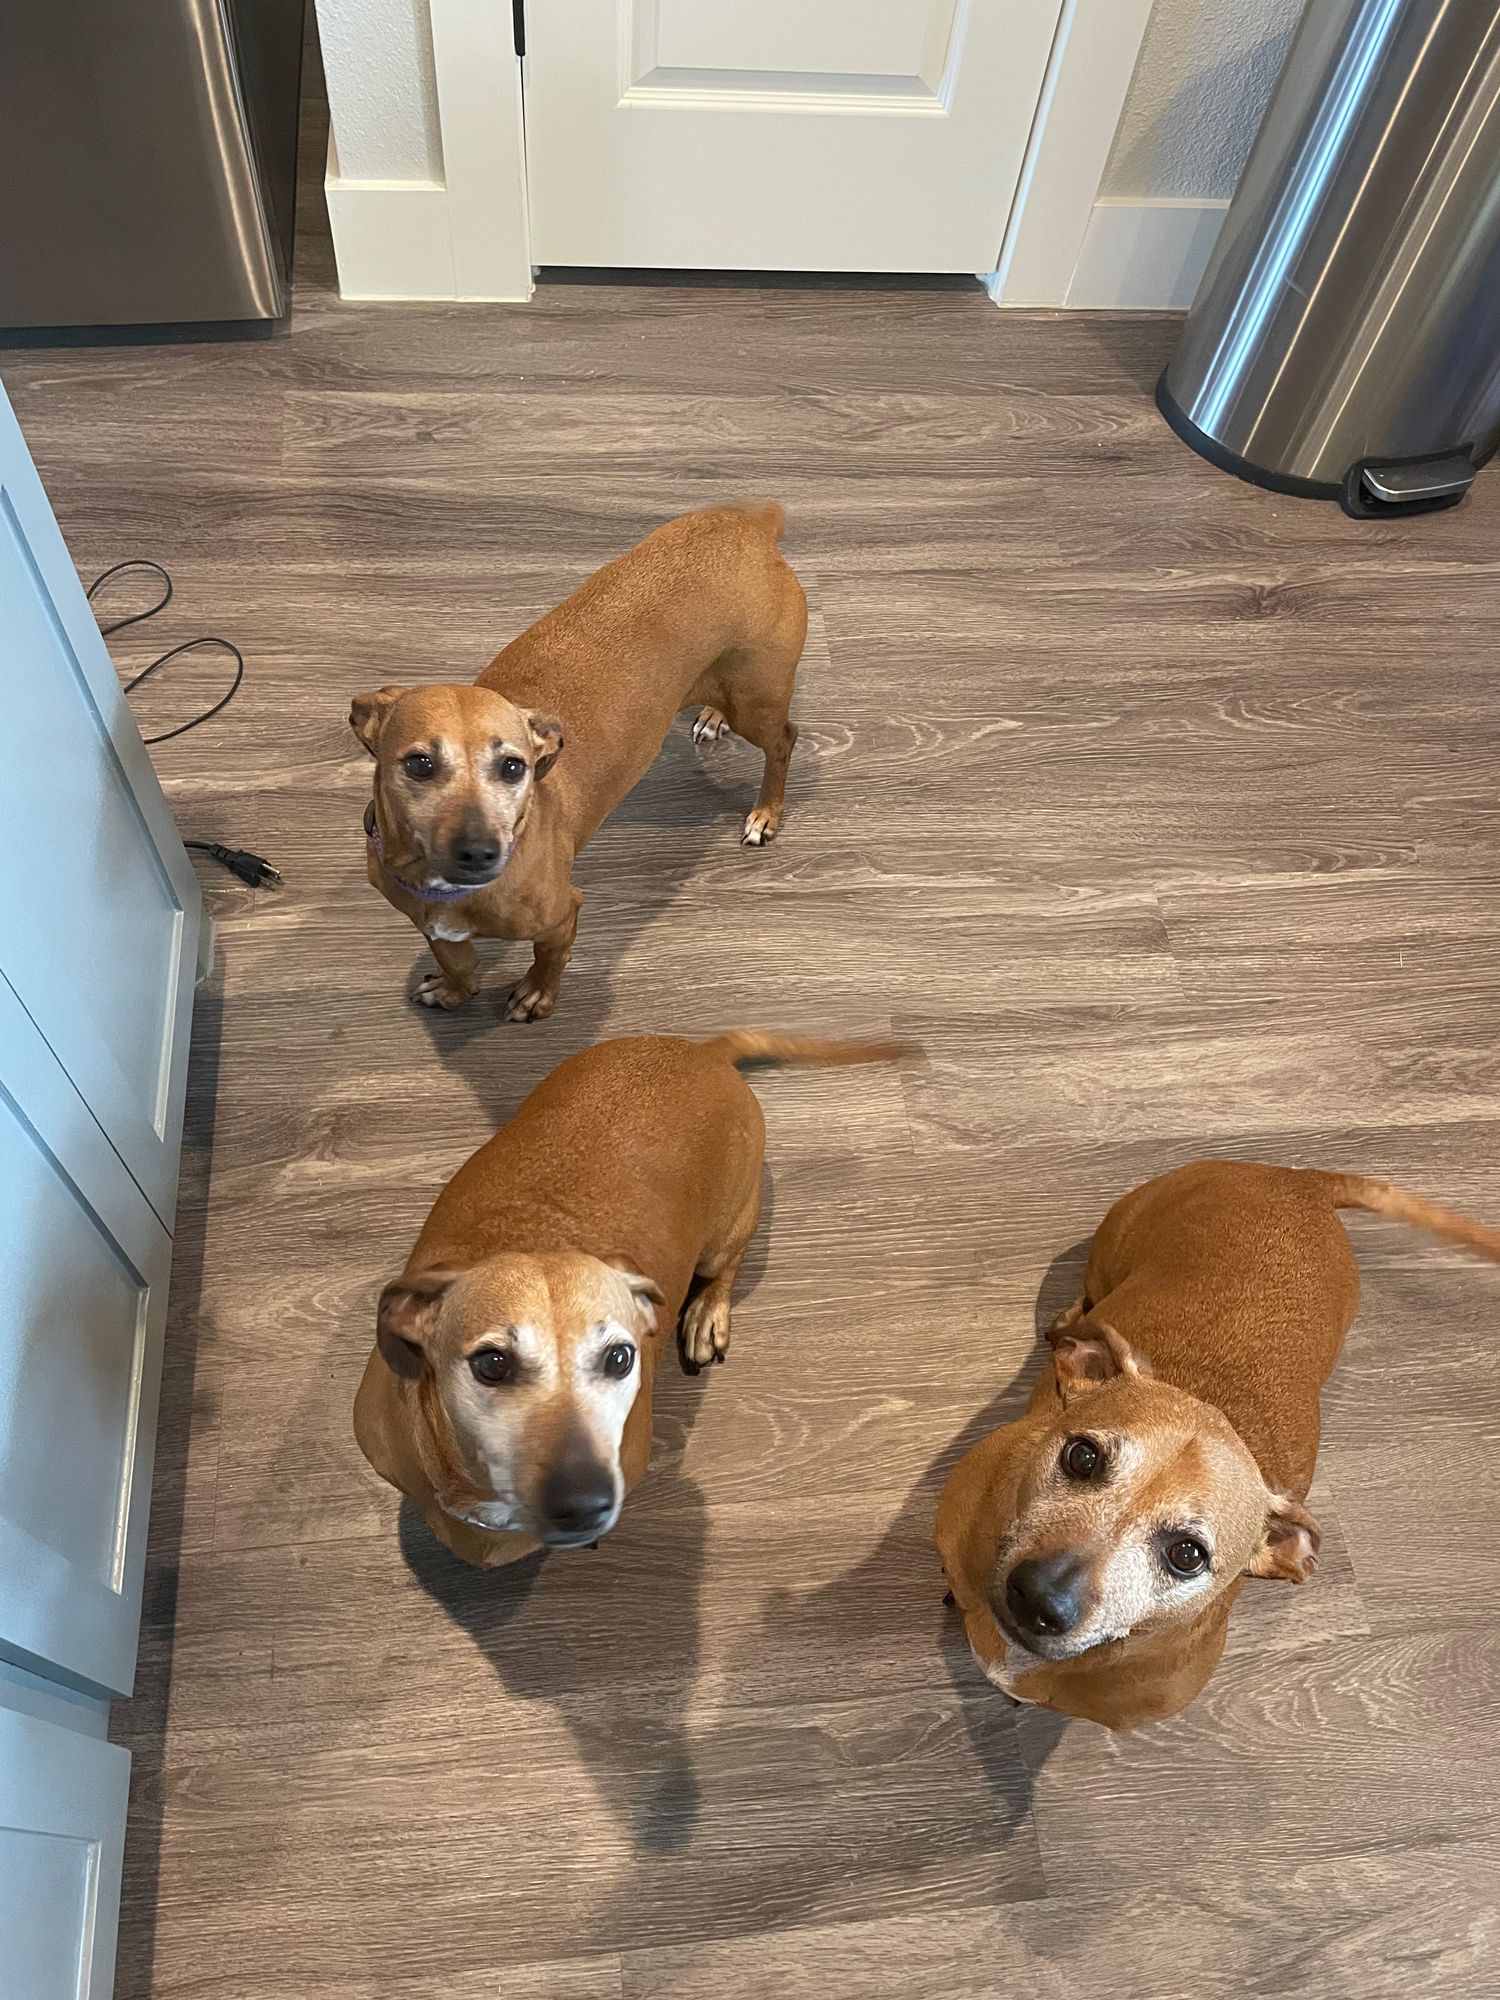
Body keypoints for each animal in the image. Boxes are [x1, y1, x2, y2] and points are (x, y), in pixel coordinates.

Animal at [352, 508, 804, 1024]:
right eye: (420, 763)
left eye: (514, 767)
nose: (479, 852)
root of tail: (747, 523)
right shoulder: (431, 925)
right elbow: (458, 962)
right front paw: (452, 990)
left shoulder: (562, 917)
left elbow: (549, 961)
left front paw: (535, 996)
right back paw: (713, 715)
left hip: (757, 701)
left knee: (783, 741)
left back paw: (766, 814)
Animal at [358, 1032, 912, 1560]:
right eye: (491, 1364)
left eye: (621, 1358)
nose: (585, 1504)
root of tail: (706, 1053)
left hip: (727, 1232)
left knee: (727, 1265)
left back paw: (708, 1313)